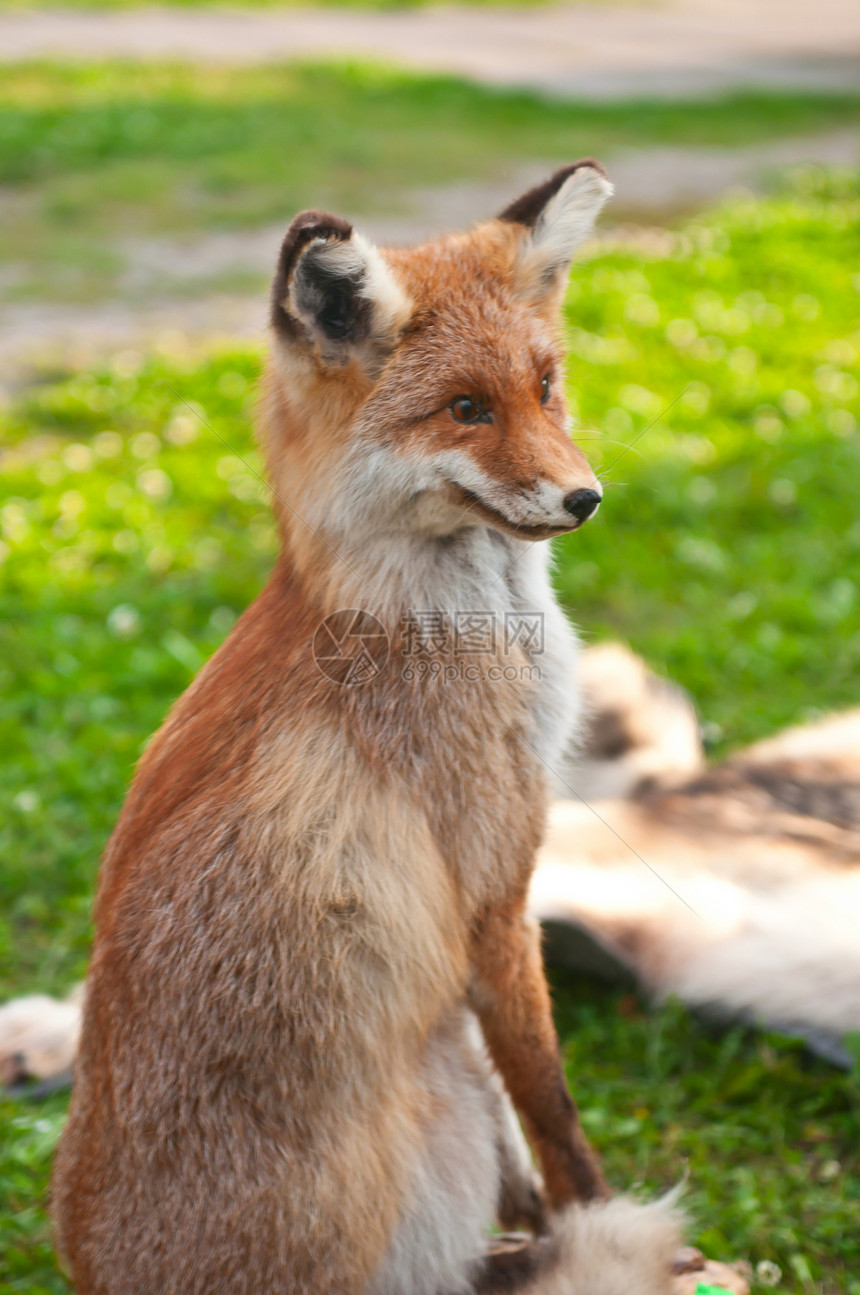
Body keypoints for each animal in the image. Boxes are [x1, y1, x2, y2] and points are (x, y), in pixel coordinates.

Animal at [52, 164, 683, 1295]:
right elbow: (550, 1102)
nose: (584, 498)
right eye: (464, 410)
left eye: (545, 388)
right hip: (431, 1106)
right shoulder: (492, 884)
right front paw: (590, 1211)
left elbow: (527, 1122)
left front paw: (547, 1217)